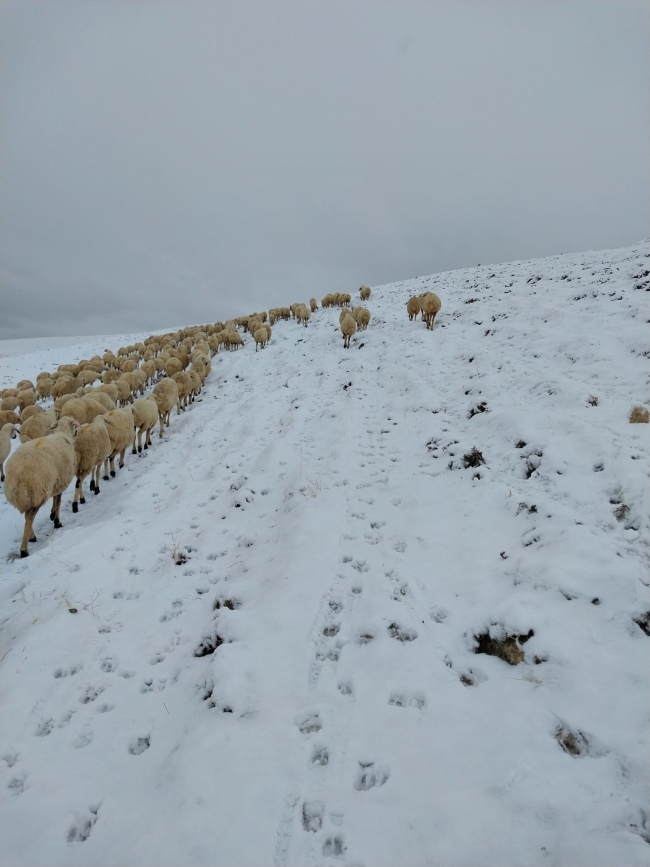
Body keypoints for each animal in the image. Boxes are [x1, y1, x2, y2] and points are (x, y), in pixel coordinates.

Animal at [3, 418, 78, 560]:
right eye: (75, 426)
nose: (76, 432)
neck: (63, 434)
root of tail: (17, 474)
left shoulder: (56, 481)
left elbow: (55, 500)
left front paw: (52, 514)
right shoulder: (61, 481)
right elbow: (58, 501)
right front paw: (57, 522)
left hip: (28, 496)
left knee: (27, 515)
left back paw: (30, 537)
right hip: (37, 491)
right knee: (29, 517)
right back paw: (25, 549)